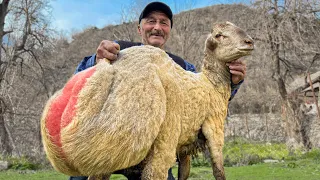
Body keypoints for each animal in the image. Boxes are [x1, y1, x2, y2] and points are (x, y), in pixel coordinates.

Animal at [41, 21, 254, 180]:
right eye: (219, 35)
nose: (249, 42)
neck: (211, 84)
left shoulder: (186, 144)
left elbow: (184, 172)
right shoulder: (214, 128)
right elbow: (219, 170)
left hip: (104, 157)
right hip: (161, 138)